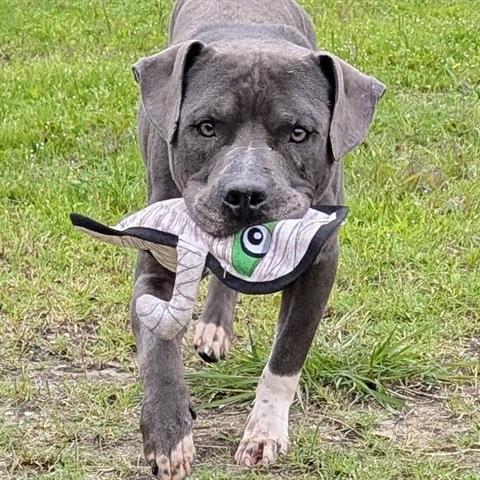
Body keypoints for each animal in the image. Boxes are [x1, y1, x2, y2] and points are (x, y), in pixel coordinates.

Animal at [130, 1, 385, 478]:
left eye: (299, 132)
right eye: (206, 127)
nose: (245, 194)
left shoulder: (320, 264)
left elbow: (287, 353)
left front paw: (264, 432)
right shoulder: (156, 270)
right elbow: (158, 351)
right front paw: (169, 435)